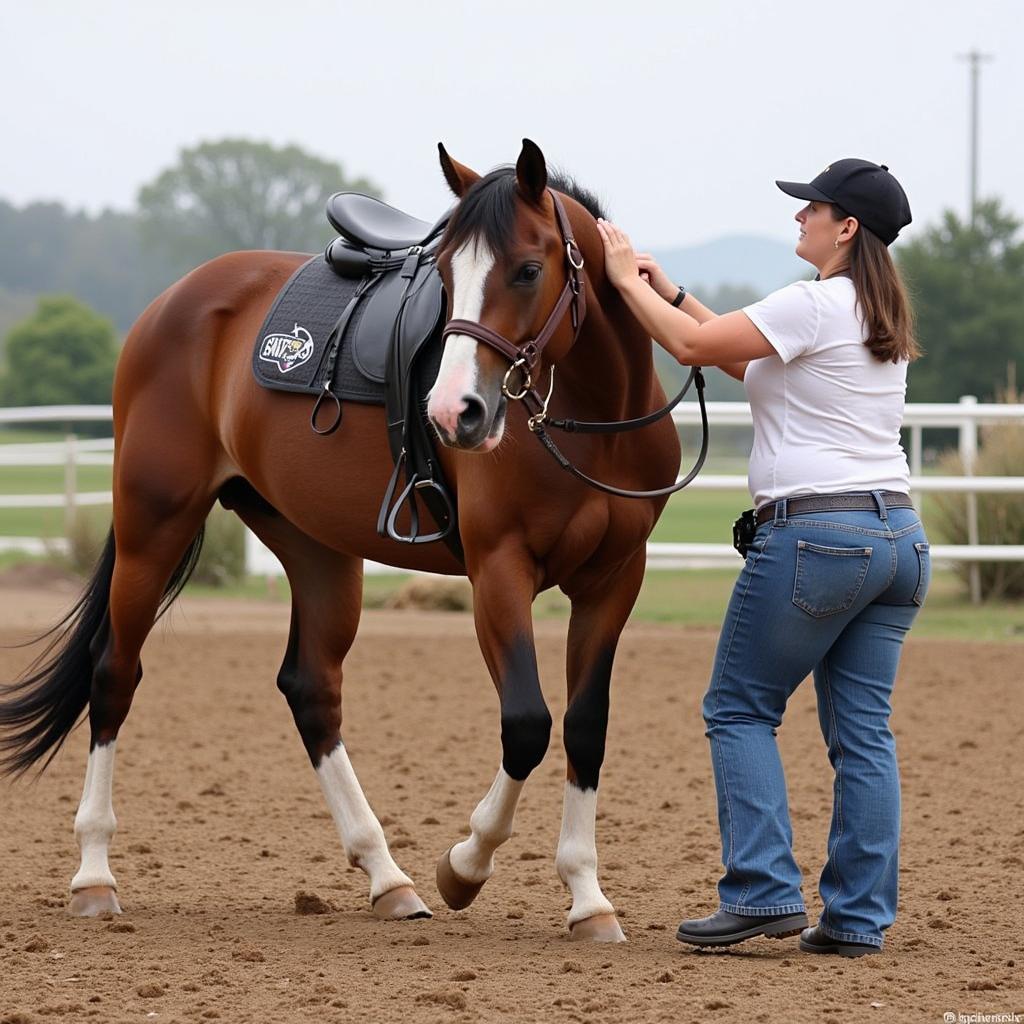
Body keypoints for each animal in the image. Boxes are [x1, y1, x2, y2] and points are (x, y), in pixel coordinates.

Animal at [4, 138, 684, 942]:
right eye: (446, 273)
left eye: (527, 269)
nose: (455, 413)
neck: (591, 420)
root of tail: (174, 301)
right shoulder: (499, 570)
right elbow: (526, 724)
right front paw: (465, 865)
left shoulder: (615, 578)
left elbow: (585, 726)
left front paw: (586, 895)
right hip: (154, 527)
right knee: (114, 675)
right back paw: (94, 875)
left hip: (315, 547)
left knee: (311, 690)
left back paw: (388, 877)